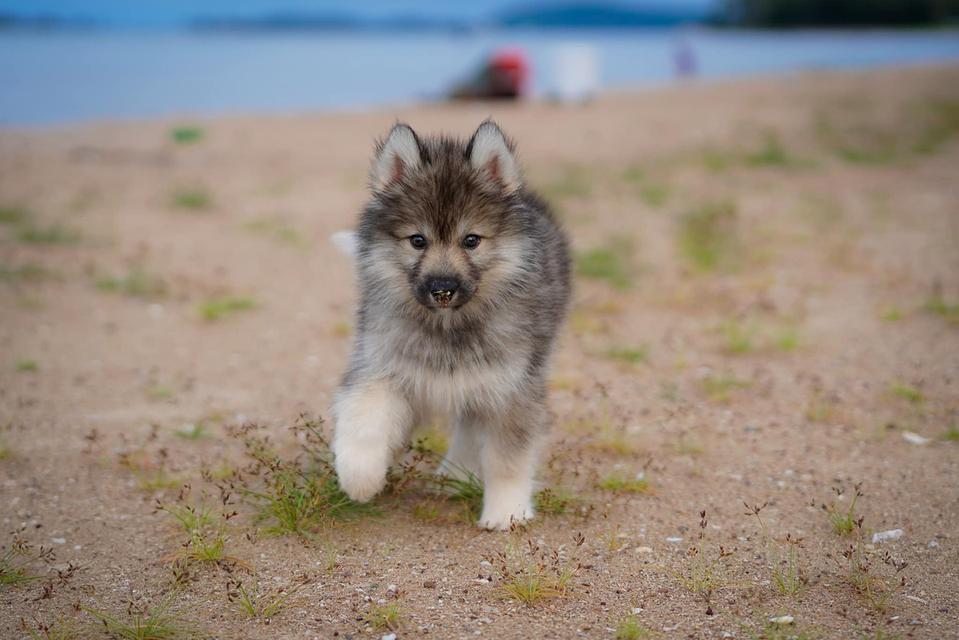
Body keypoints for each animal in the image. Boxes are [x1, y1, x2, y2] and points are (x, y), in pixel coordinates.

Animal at [334, 120, 568, 528]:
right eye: (417, 240)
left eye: (471, 240)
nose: (442, 289)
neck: (448, 327)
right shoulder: (382, 366)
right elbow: (364, 417)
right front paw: (359, 477)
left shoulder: (511, 388)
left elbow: (507, 458)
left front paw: (506, 512)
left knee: (470, 432)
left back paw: (458, 473)